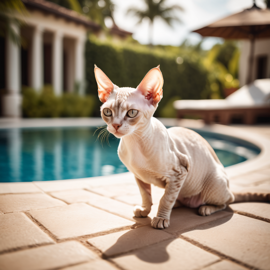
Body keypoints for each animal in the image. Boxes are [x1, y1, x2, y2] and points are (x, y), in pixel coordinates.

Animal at [94, 64, 268, 229]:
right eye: (107, 112)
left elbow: (166, 199)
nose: (115, 125)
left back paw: (206, 208)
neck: (134, 142)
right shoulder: (139, 176)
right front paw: (144, 210)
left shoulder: (179, 171)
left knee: (227, 200)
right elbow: (146, 195)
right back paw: (178, 203)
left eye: (131, 113)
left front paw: (161, 219)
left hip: (214, 183)